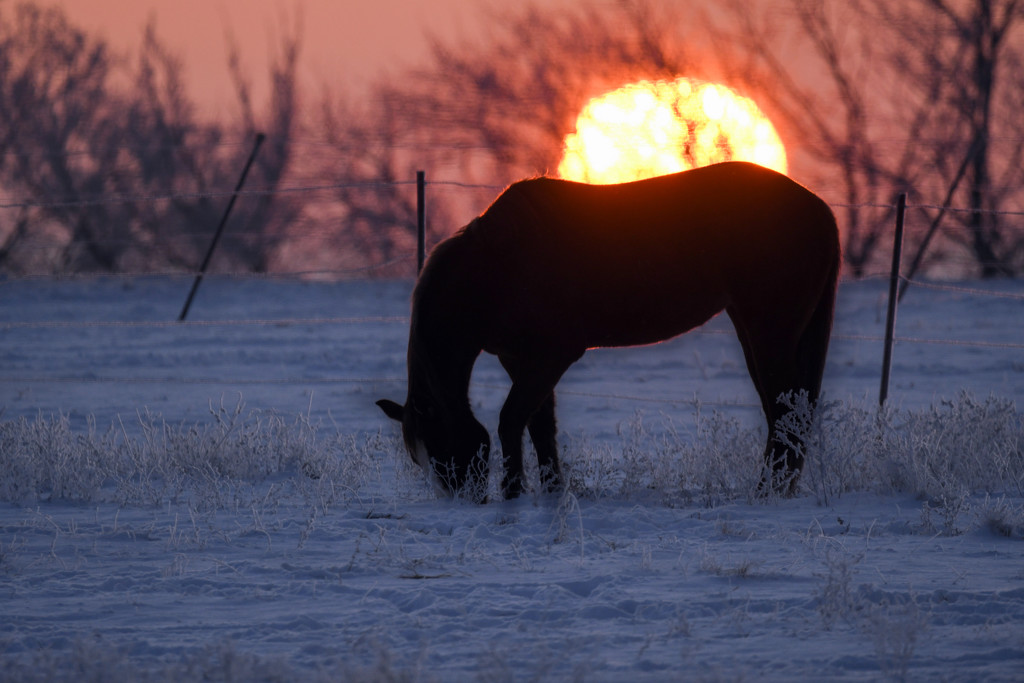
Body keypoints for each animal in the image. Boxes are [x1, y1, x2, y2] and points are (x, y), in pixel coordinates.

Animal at [376, 160, 839, 501]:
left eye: (440, 447)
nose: (466, 500)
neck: (495, 268)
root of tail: (818, 208)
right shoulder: (519, 359)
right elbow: (540, 425)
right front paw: (551, 492)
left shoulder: (553, 355)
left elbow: (511, 420)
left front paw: (513, 494)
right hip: (753, 329)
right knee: (784, 410)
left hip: (770, 333)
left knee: (783, 410)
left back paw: (766, 493)